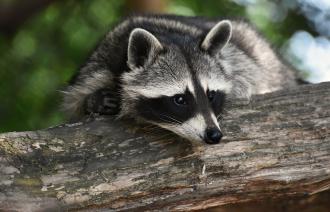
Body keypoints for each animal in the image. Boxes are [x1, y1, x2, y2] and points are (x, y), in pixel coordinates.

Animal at [62, 14, 300, 144]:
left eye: (211, 95)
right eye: (180, 99)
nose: (214, 135)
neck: (167, 36)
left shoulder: (240, 63)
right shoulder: (99, 63)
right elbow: (77, 98)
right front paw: (94, 101)